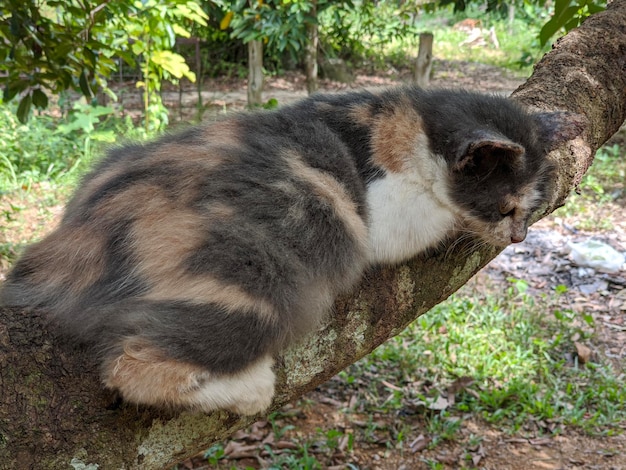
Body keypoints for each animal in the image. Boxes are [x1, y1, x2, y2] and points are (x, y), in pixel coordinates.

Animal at [0, 85, 580, 414]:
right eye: (505, 208)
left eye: (529, 208)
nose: (519, 236)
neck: (407, 118)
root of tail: (74, 240)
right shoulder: (379, 207)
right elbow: (423, 222)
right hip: (254, 276)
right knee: (131, 363)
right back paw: (249, 392)